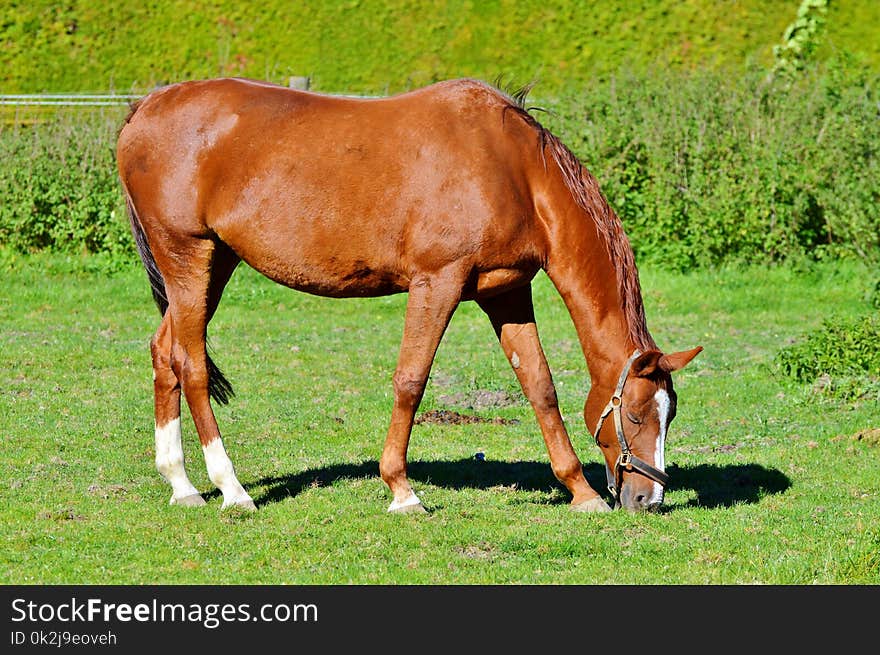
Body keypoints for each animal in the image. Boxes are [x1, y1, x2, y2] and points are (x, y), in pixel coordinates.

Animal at [115, 77, 700, 516]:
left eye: (670, 414)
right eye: (638, 416)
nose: (649, 499)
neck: (511, 169)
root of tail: (144, 109)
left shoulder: (507, 291)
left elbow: (540, 386)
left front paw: (579, 491)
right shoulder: (436, 283)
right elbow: (411, 381)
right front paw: (401, 490)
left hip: (214, 264)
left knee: (164, 352)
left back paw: (181, 485)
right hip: (188, 258)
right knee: (190, 363)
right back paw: (231, 489)